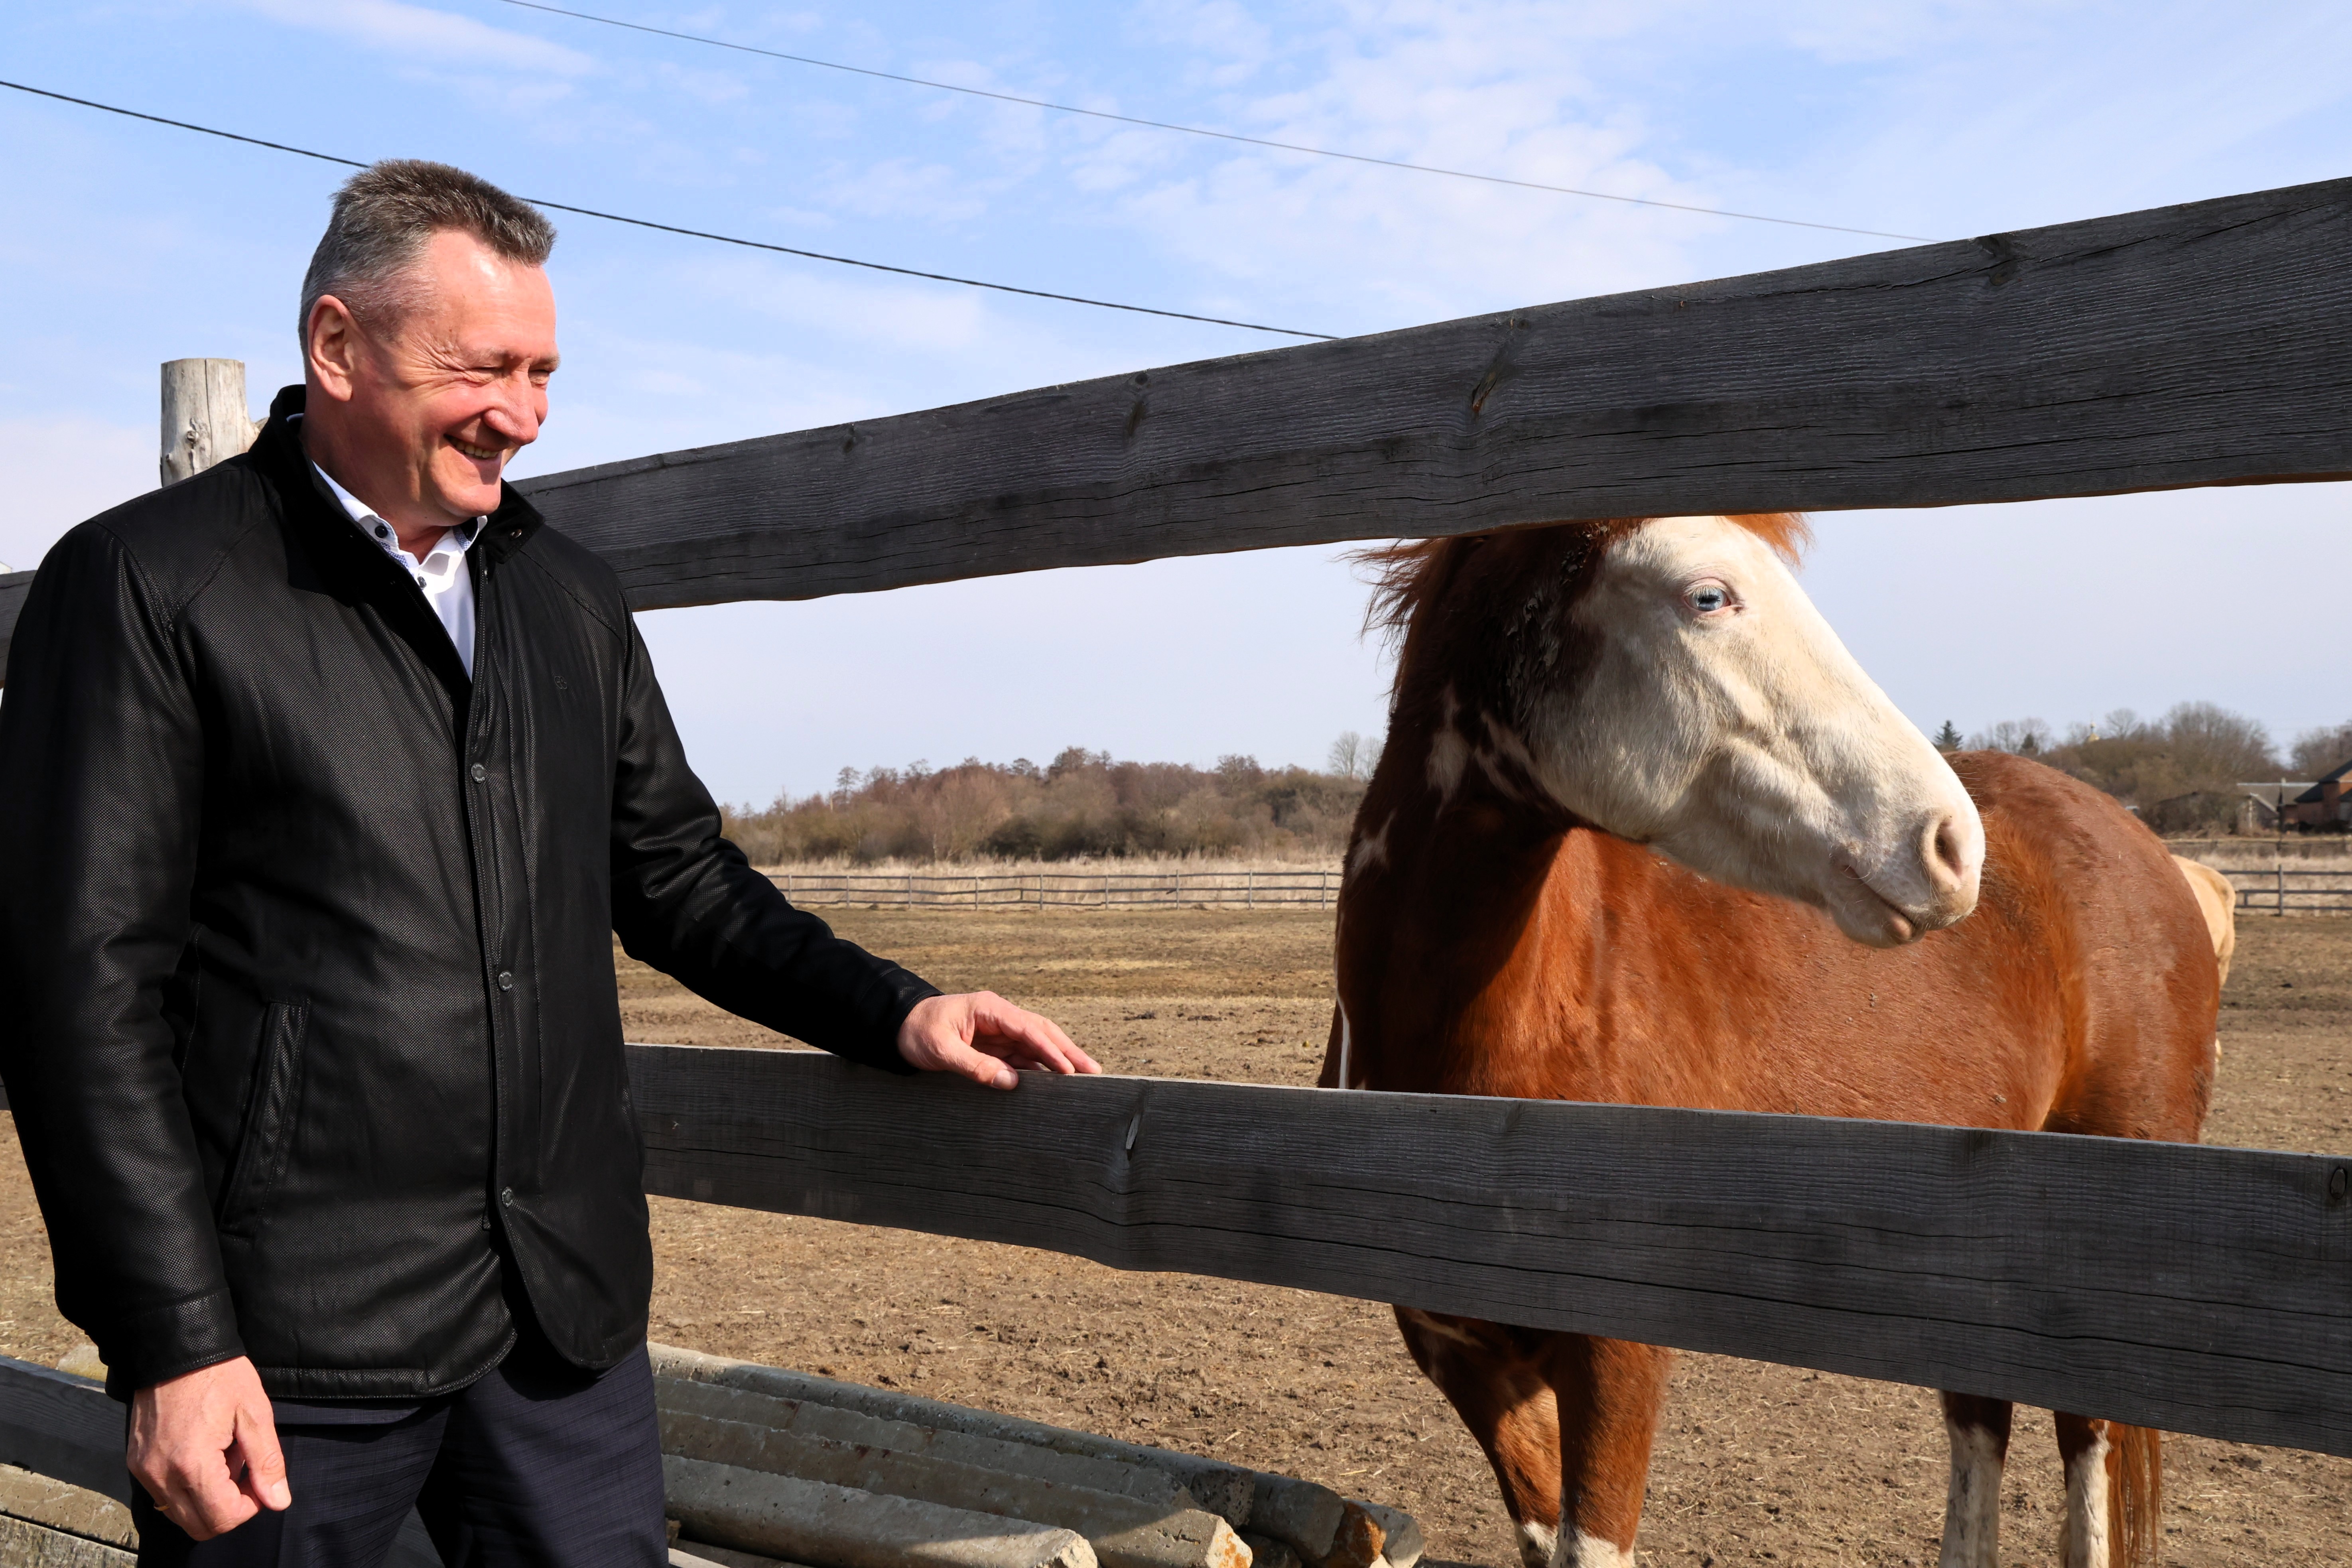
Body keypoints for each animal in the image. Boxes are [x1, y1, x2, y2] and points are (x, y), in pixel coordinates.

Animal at [1322, 515, 2217, 1568]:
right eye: (1708, 596)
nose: (1949, 843)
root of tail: (2147, 851)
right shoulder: (1470, 1363)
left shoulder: (1617, 1359)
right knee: (1980, 1420)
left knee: (2088, 1438)